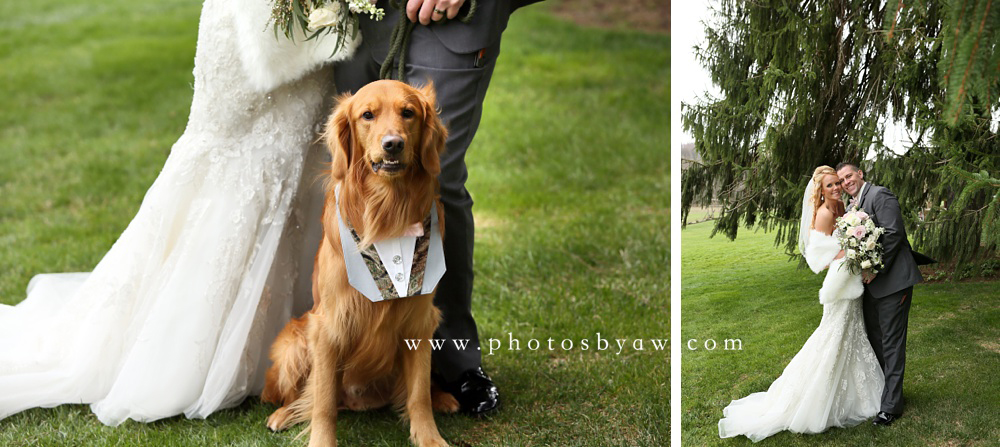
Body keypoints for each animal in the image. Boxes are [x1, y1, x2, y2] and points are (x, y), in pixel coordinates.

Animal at [260, 81, 458, 447]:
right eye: (367, 115)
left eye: (408, 113)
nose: (393, 144)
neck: (388, 211)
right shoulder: (328, 326)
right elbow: (323, 401)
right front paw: (321, 442)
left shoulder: (420, 319)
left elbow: (418, 394)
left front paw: (429, 437)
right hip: (293, 341)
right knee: (304, 395)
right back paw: (283, 413)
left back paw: (443, 397)